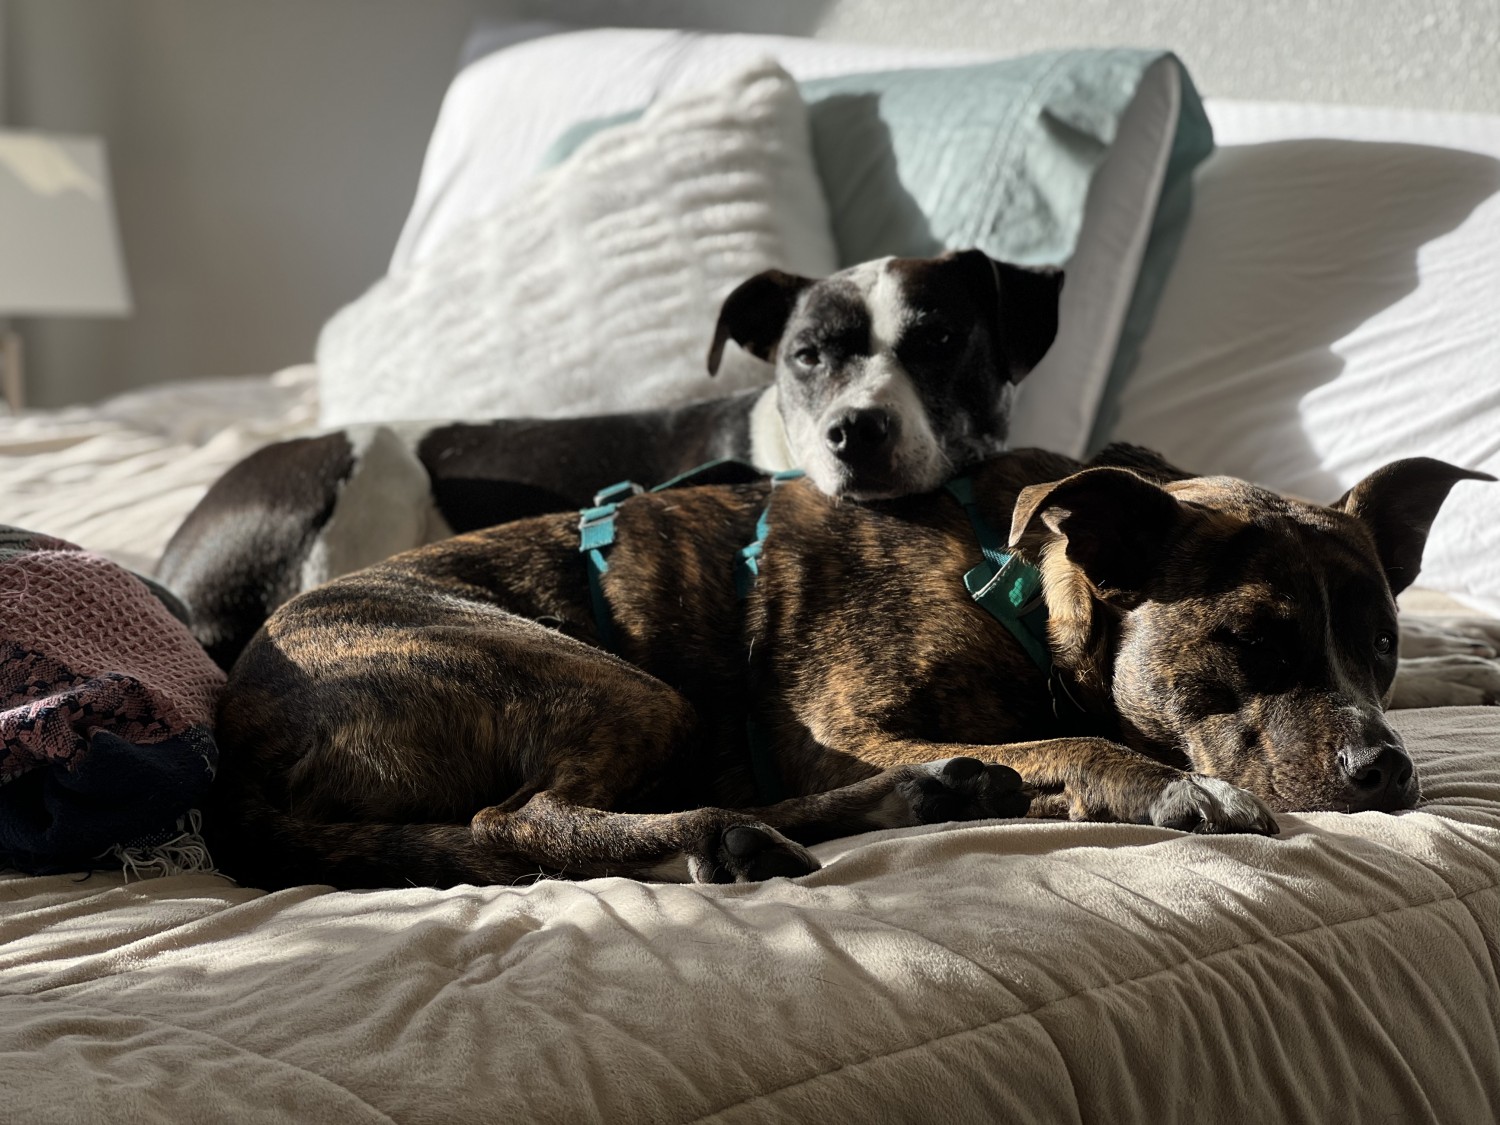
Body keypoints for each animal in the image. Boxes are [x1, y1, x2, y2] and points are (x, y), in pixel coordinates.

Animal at [208, 444, 1488, 888]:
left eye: (1377, 642)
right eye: (1254, 641)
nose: (1386, 771)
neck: (1022, 593)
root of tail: (238, 751)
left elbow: (1039, 746)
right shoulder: (847, 722)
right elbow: (1071, 739)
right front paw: (1172, 786)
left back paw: (914, 796)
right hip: (609, 684)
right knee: (520, 820)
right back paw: (721, 837)